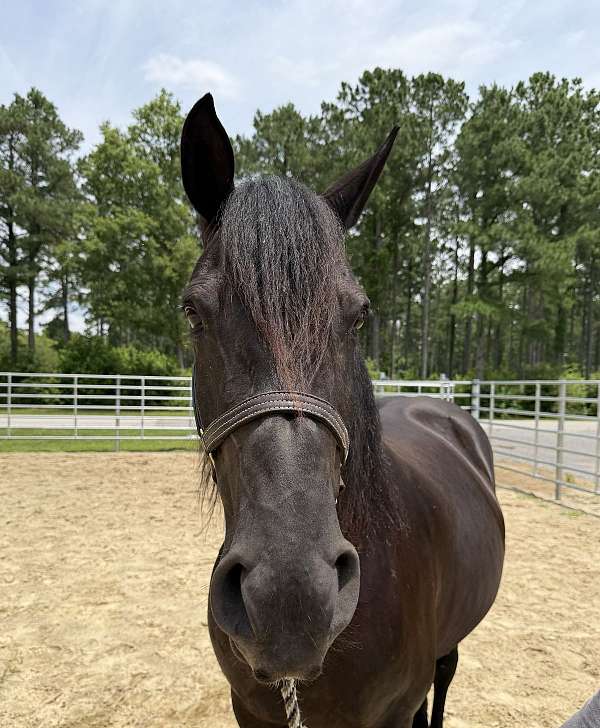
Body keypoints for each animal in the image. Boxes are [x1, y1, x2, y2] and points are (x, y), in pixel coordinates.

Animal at [180, 93, 505, 728]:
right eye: (193, 313)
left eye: (359, 314)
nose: (290, 598)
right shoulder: (249, 710)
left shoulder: (395, 711)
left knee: (445, 676)